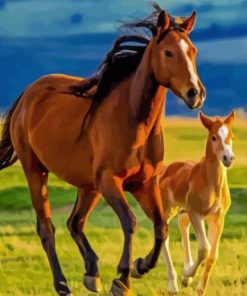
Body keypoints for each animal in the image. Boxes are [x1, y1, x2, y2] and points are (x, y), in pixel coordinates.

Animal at [0, 4, 205, 296]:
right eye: (168, 52)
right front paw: (122, 279)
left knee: (75, 222)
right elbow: (130, 222)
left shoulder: (144, 184)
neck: (133, 120)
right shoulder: (111, 182)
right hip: (36, 172)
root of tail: (27, 95)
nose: (195, 94)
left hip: (88, 185)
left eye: (193, 51)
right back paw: (62, 284)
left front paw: (140, 266)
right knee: (47, 228)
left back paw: (91, 273)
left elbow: (161, 227)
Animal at [159, 111, 234, 296]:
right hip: (168, 210)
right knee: (163, 237)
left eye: (231, 137)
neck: (212, 183)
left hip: (183, 211)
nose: (228, 158)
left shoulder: (217, 218)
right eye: (213, 137)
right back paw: (173, 284)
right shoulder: (196, 213)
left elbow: (212, 255)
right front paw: (186, 277)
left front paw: (199, 287)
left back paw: (185, 270)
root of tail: (165, 170)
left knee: (183, 226)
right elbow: (204, 248)